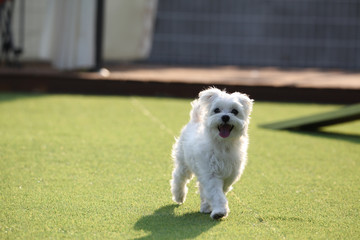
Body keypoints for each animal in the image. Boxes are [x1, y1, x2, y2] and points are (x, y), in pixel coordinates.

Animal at [171, 87, 253, 219]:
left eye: (235, 111)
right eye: (217, 110)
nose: (225, 117)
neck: (222, 144)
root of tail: (195, 120)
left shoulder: (230, 174)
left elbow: (220, 190)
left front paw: (210, 206)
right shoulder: (211, 173)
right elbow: (216, 194)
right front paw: (220, 211)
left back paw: (205, 206)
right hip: (184, 163)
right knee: (178, 177)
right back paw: (179, 196)